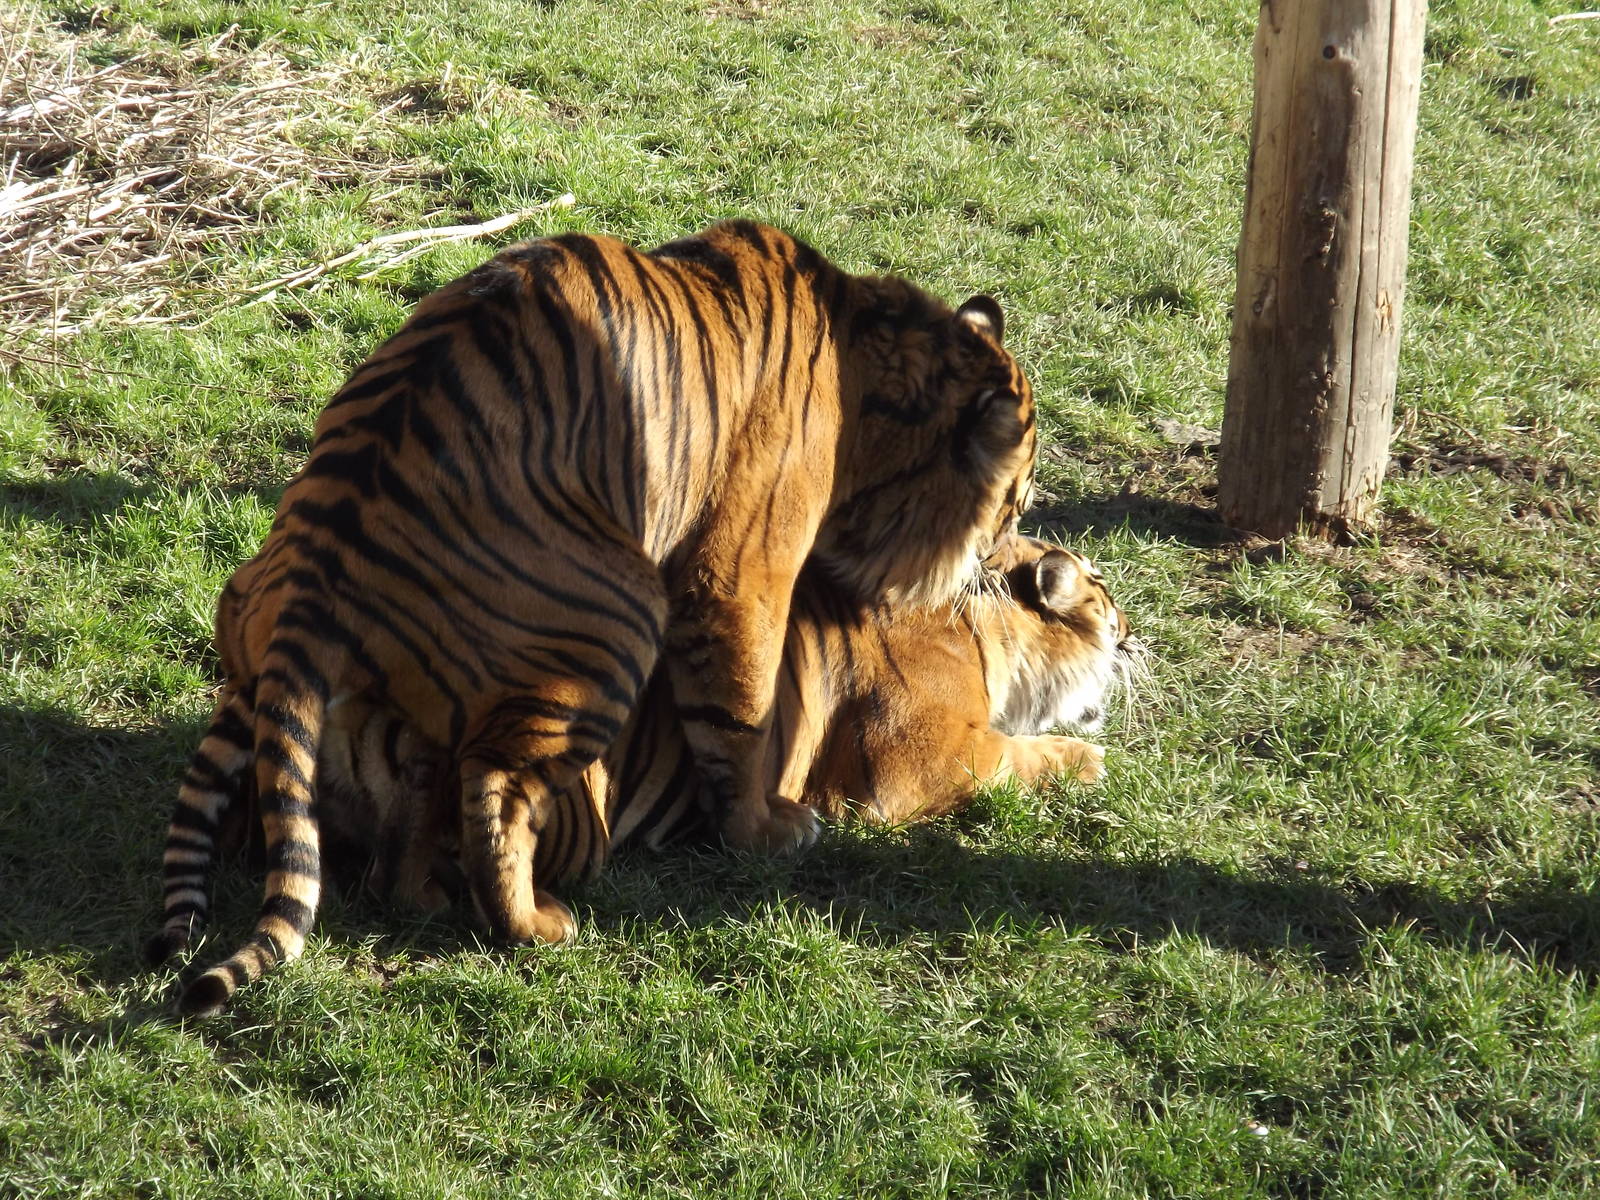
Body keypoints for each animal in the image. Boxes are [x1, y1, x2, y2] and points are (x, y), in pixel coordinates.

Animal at [146, 219, 1038, 1016]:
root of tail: (313, 575)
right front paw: (764, 831)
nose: (1007, 564)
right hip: (620, 618)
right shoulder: (742, 571)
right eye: (1016, 501)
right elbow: (742, 715)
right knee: (497, 787)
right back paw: (538, 925)